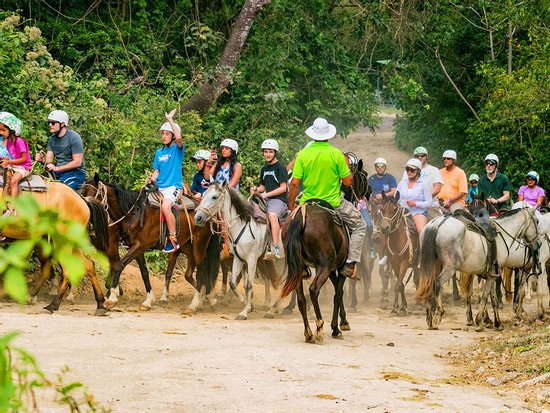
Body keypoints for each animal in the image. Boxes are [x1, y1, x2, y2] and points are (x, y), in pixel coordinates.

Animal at [0, 175, 110, 316]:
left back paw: (53, 304)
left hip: (61, 242)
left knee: (67, 270)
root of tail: (82, 200)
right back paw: (100, 304)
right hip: (67, 242)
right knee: (88, 265)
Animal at [195, 180, 282, 318]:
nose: (197, 218)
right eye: (203, 196)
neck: (242, 225)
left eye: (214, 197)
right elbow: (233, 282)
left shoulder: (251, 259)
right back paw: (272, 307)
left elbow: (248, 284)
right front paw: (246, 302)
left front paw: (244, 311)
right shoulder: (238, 258)